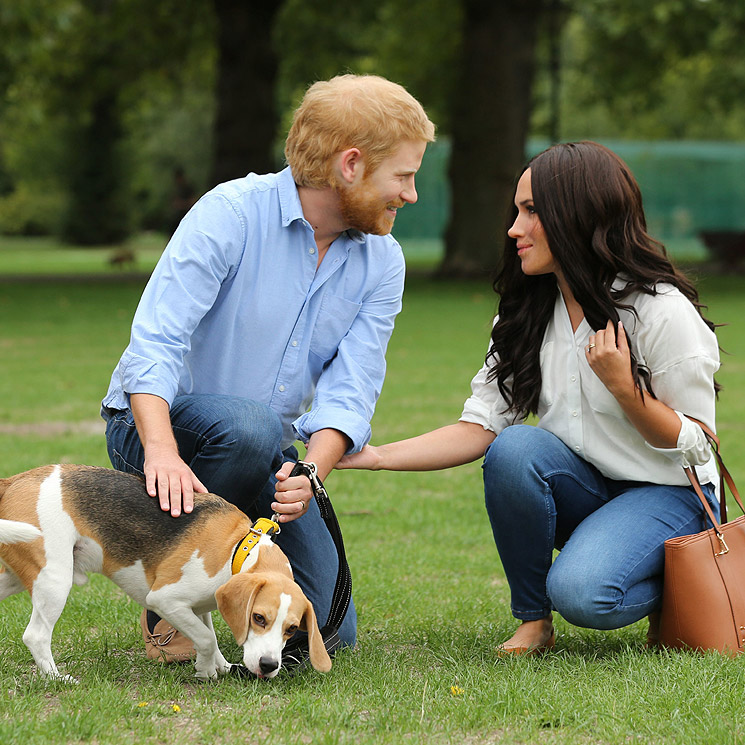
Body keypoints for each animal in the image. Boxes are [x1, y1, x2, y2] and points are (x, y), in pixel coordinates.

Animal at [0, 464, 332, 680]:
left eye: (291, 629)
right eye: (259, 618)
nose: (268, 666)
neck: (239, 549)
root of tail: (14, 480)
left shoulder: (200, 605)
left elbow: (208, 634)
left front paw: (221, 666)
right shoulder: (165, 599)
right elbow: (206, 638)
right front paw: (205, 670)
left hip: (16, 575)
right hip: (54, 577)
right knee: (36, 636)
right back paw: (57, 679)